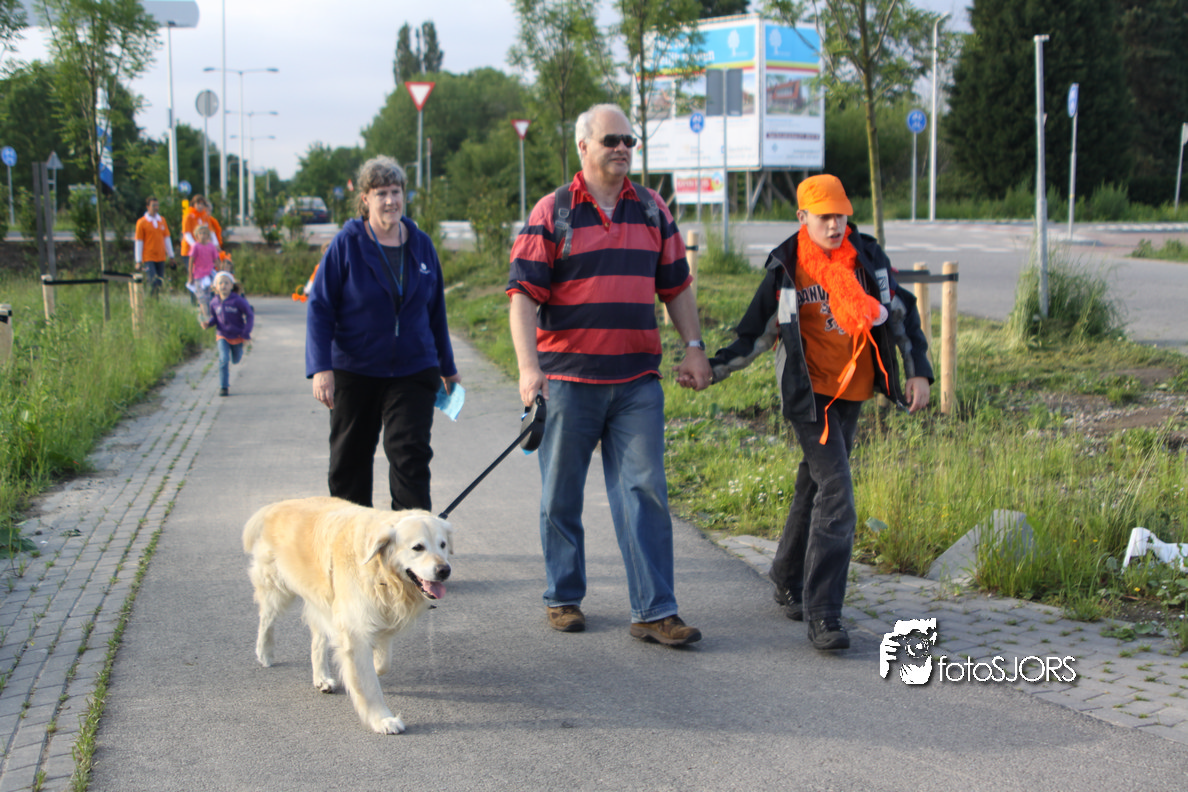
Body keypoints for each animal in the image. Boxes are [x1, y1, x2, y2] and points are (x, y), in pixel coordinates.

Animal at [243, 497, 453, 734]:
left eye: (443, 545)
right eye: (418, 547)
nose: (444, 570)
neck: (380, 571)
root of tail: (281, 504)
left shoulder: (380, 616)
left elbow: (383, 661)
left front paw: (374, 667)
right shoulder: (355, 629)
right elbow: (368, 682)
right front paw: (382, 719)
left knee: (318, 639)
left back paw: (322, 677)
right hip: (276, 588)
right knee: (266, 619)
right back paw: (264, 652)